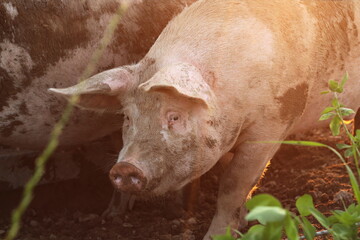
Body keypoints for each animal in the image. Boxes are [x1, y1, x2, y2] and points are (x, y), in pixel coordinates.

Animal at [50, 0, 360, 238]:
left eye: (174, 116)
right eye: (128, 117)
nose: (126, 167)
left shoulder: (273, 123)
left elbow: (233, 184)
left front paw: (217, 235)